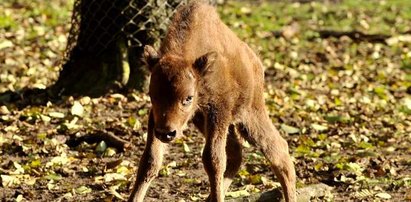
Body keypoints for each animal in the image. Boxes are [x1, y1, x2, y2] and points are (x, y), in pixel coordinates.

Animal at [129, 1, 296, 202]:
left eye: (188, 98)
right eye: (152, 95)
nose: (166, 133)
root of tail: (255, 61)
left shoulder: (219, 111)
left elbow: (213, 159)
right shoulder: (158, 118)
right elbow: (150, 160)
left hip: (250, 115)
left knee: (277, 151)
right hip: (201, 120)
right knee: (236, 154)